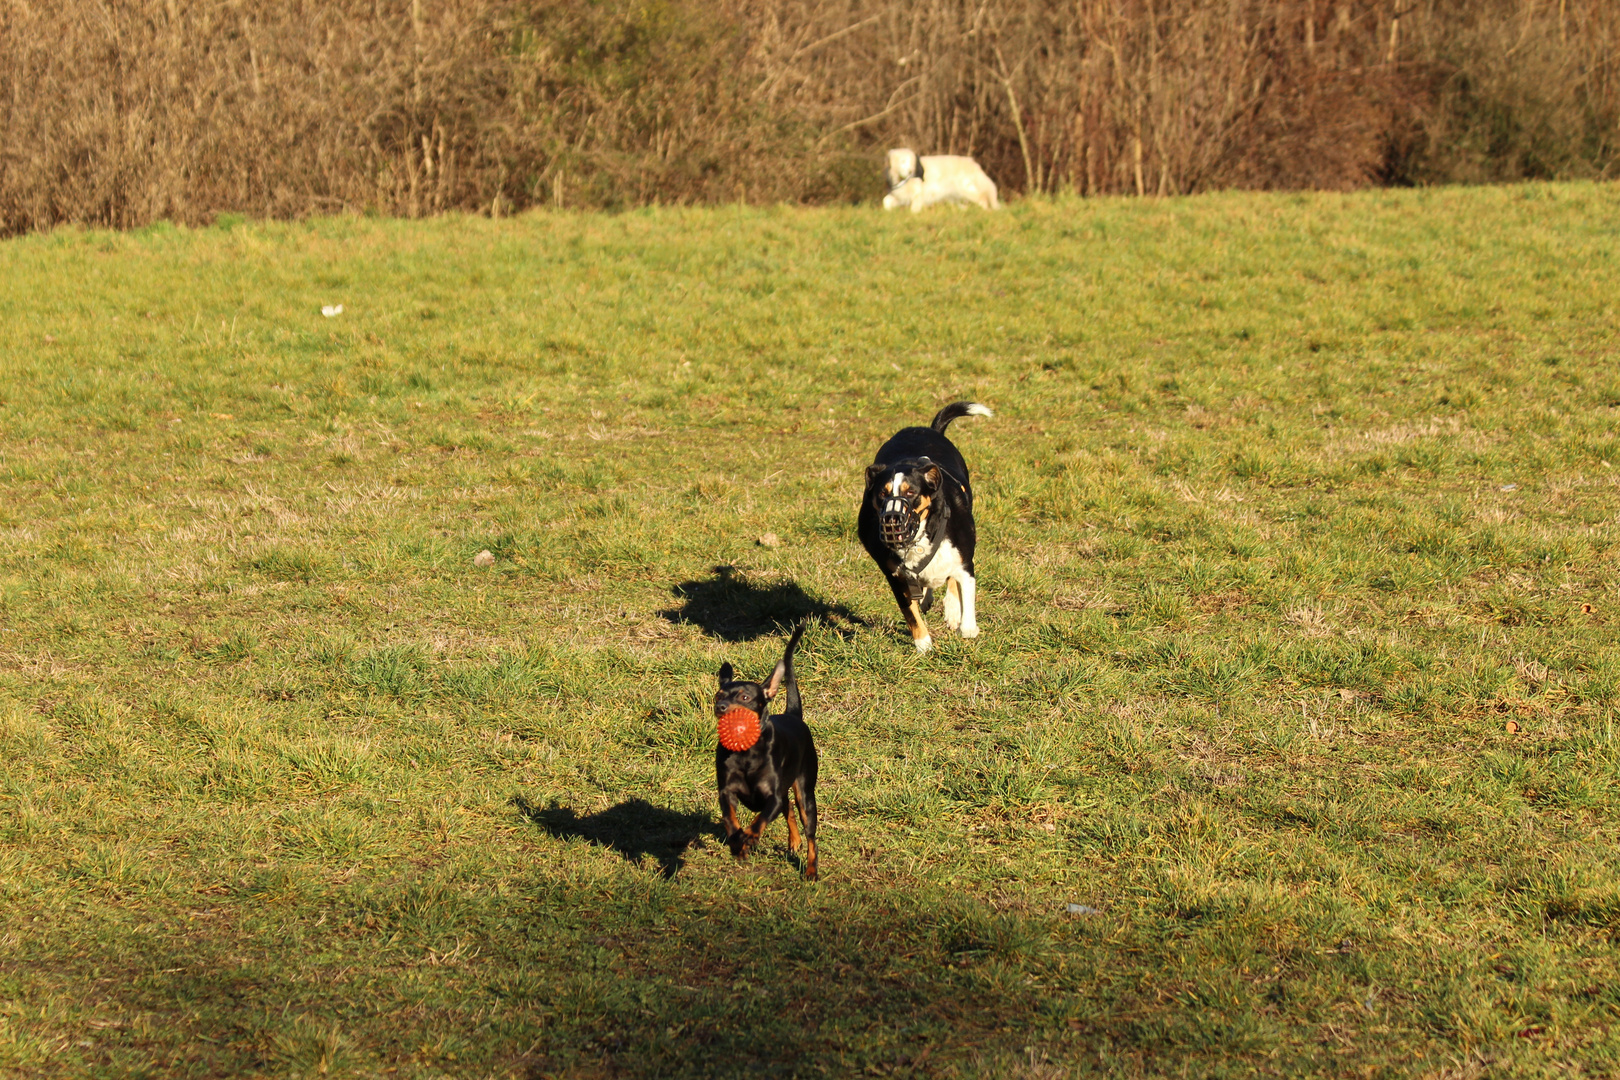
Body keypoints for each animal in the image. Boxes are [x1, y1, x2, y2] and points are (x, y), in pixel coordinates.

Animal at [716, 625, 816, 880]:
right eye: (718, 696)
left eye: (745, 697)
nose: (720, 707)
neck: (746, 752)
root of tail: (792, 714)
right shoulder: (726, 792)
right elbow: (730, 819)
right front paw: (737, 843)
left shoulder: (773, 796)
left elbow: (759, 819)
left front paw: (749, 837)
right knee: (788, 809)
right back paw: (793, 841)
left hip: (806, 794)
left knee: (810, 833)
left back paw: (812, 870)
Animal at [855, 403, 991, 650]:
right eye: (882, 494)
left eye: (911, 492)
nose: (892, 520)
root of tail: (928, 430)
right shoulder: (895, 575)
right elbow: (910, 611)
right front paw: (923, 643)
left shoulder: (965, 563)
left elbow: (966, 616)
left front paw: (963, 622)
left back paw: (952, 610)